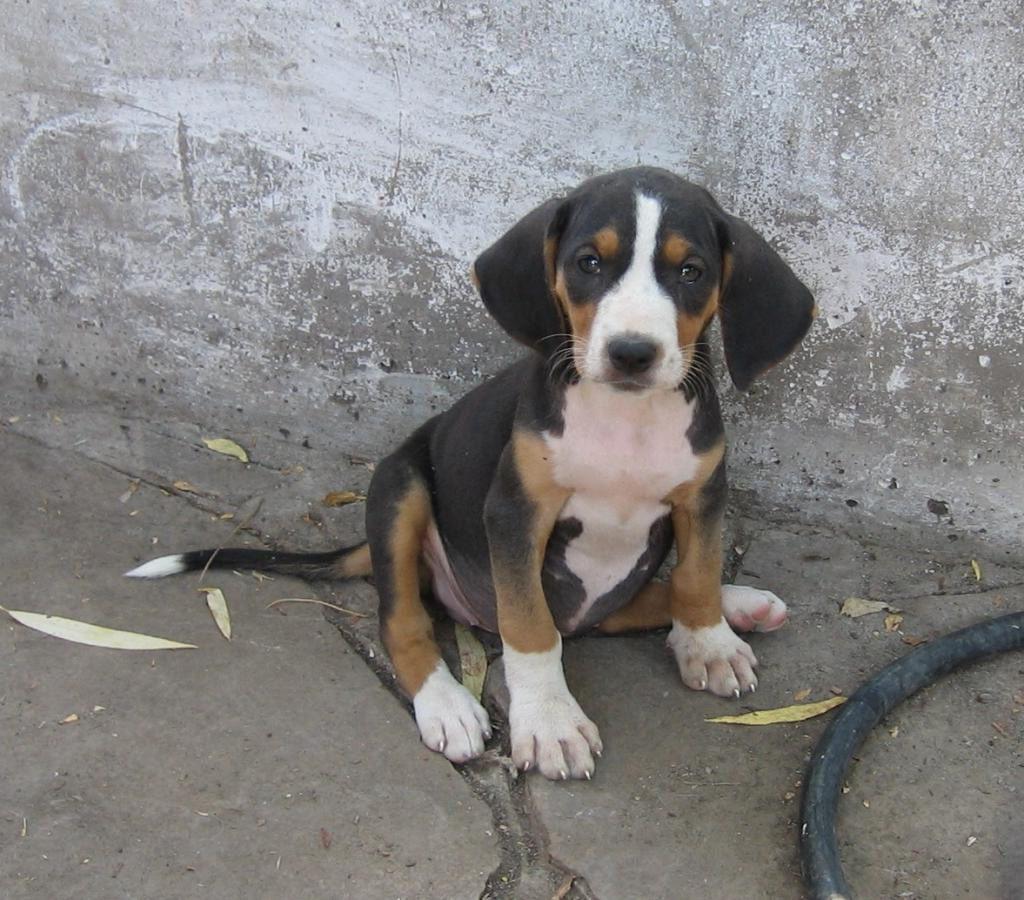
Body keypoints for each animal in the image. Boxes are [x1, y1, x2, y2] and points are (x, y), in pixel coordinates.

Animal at [128, 166, 815, 782]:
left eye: (691, 271)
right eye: (589, 263)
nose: (631, 353)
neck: (623, 419)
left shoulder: (702, 495)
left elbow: (695, 575)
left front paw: (709, 641)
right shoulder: (514, 514)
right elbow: (531, 627)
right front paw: (551, 722)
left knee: (620, 606)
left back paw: (739, 605)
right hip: (399, 488)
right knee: (405, 622)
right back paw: (447, 705)